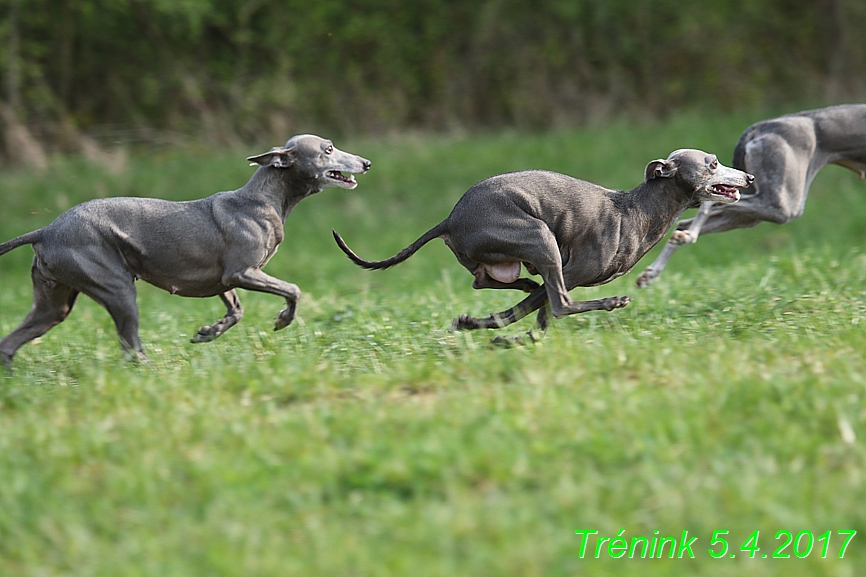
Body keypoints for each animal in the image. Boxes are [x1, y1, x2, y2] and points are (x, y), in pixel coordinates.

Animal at [0, 134, 368, 368]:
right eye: (328, 149)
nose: (365, 162)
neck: (264, 199)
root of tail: (46, 230)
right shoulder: (243, 271)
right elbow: (294, 289)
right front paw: (283, 320)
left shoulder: (224, 279)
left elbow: (236, 310)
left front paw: (208, 333)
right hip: (117, 289)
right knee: (131, 345)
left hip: (53, 303)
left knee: (9, 343)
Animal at [334, 150, 752, 338]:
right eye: (713, 163)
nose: (748, 177)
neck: (636, 209)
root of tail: (450, 219)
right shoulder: (572, 270)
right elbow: (542, 308)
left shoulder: (562, 274)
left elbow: (527, 314)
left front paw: (486, 329)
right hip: (540, 238)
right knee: (562, 302)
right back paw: (611, 302)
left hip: (513, 256)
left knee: (489, 283)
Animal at [636, 104, 864, 288]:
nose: (749, 177)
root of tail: (760, 127)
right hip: (783, 206)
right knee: (709, 205)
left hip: (749, 211)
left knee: (688, 222)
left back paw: (654, 270)